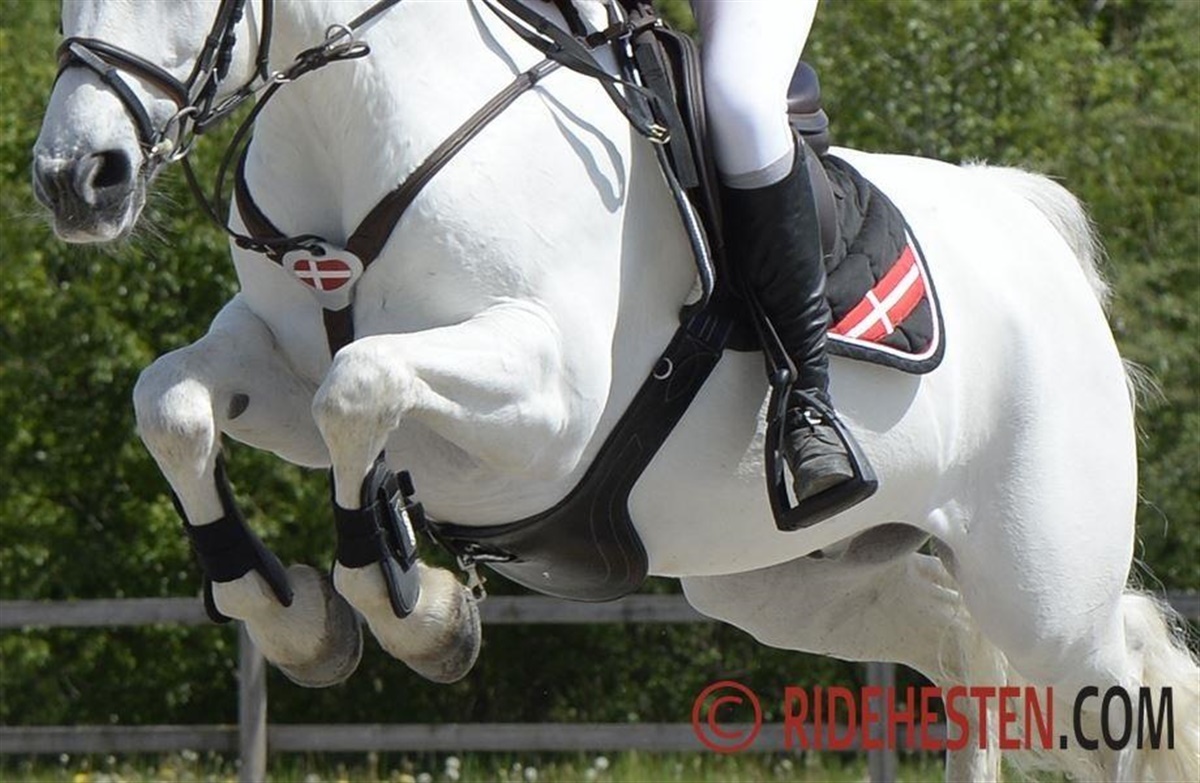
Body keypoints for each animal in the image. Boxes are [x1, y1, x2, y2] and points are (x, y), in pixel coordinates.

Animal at [31, 1, 1198, 780]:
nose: (72, 180)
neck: (352, 122)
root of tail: (1035, 228)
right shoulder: (274, 362)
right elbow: (173, 403)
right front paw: (294, 618)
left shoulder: (546, 404)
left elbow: (358, 389)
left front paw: (419, 608)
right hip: (786, 581)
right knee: (959, 656)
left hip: (1047, 596)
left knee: (1114, 699)